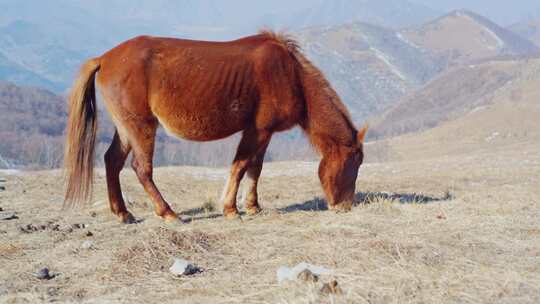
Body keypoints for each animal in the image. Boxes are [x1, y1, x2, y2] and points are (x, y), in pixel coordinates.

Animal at [63, 30, 368, 223]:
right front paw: (231, 209)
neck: (290, 75)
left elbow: (255, 168)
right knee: (141, 169)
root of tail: (104, 58)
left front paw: (252, 206)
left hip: (126, 128)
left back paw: (123, 213)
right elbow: (241, 166)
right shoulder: (257, 130)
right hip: (141, 127)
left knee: (112, 161)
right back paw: (168, 213)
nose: (344, 206)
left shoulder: (264, 133)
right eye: (353, 163)